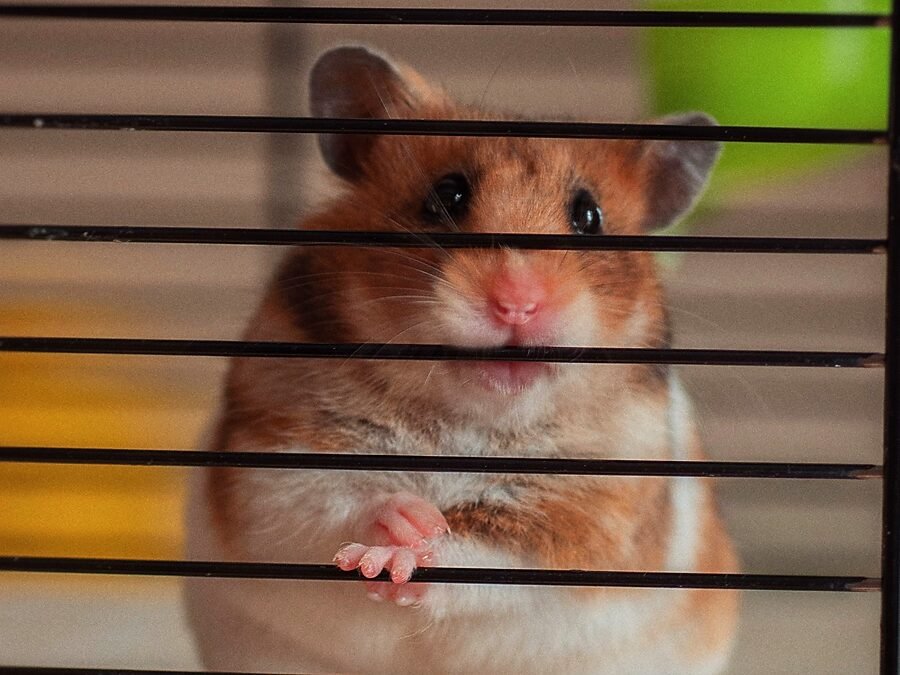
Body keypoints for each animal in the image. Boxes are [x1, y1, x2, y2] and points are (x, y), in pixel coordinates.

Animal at [184, 46, 739, 675]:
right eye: (447, 195)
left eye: (589, 216)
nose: (517, 302)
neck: (466, 419)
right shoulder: (274, 455)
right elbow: (332, 499)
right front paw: (397, 530)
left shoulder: (590, 511)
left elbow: (490, 552)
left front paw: (404, 556)